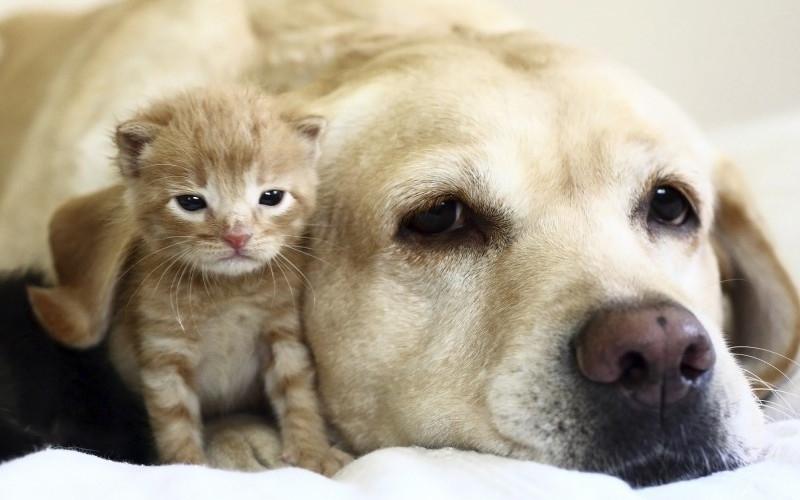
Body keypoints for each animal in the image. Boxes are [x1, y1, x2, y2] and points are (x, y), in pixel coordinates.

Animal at [50, 88, 346, 474]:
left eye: (271, 197)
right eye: (191, 202)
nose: (237, 236)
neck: (227, 292)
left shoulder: (283, 332)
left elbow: (298, 393)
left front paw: (312, 451)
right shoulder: (165, 351)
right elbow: (174, 418)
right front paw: (187, 468)